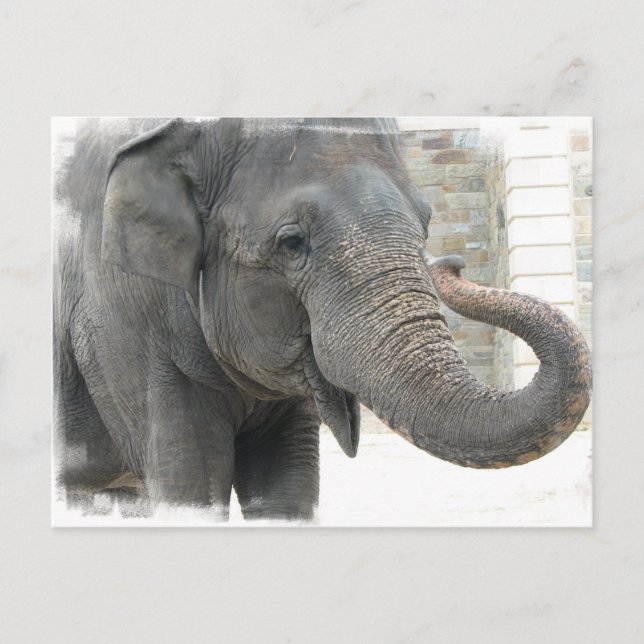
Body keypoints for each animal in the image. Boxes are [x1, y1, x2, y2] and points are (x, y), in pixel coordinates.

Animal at [53, 117, 591, 521]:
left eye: (426, 224)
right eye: (292, 243)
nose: (452, 264)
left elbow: (287, 489)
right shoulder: (121, 319)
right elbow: (190, 487)